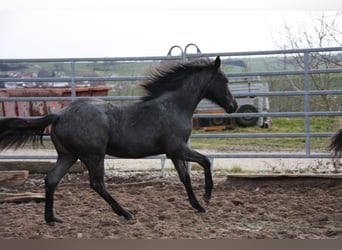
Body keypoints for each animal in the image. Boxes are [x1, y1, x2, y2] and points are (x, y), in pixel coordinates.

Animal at [0, 56, 238, 223]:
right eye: (224, 80)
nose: (233, 106)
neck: (173, 106)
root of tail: (59, 115)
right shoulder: (177, 149)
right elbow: (205, 161)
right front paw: (207, 196)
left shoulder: (175, 152)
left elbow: (185, 177)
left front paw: (198, 206)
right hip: (93, 156)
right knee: (97, 183)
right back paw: (126, 214)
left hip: (68, 156)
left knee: (51, 179)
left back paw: (52, 218)